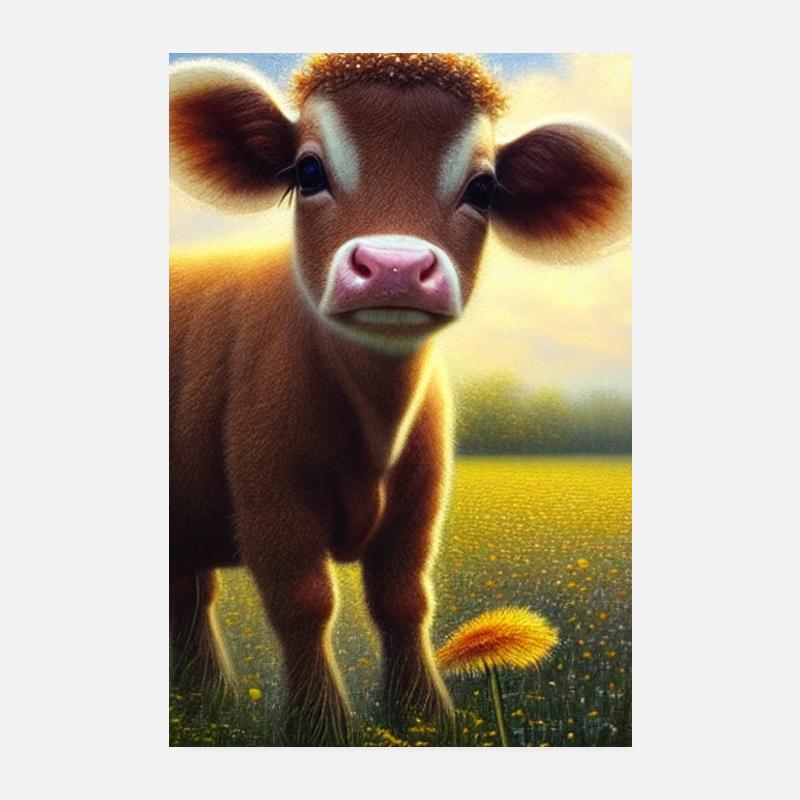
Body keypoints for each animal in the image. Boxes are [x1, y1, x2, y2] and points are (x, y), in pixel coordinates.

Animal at [169, 52, 631, 745]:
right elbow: (304, 600)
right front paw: (321, 725)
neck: (373, 423)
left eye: (484, 189)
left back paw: (208, 698)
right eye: (308, 171)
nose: (394, 267)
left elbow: (404, 598)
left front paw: (426, 716)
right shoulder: (269, 490)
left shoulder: (424, 492)